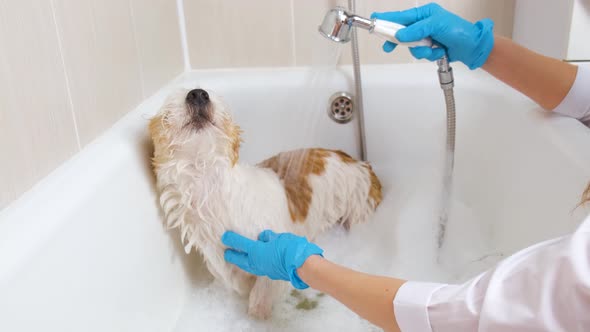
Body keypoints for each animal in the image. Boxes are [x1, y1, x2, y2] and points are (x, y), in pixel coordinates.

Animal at [149, 87, 384, 320]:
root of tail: (360, 162)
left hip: (359, 210)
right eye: (166, 112)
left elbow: (261, 294)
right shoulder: (223, 264)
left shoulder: (268, 254)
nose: (198, 93)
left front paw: (259, 312)